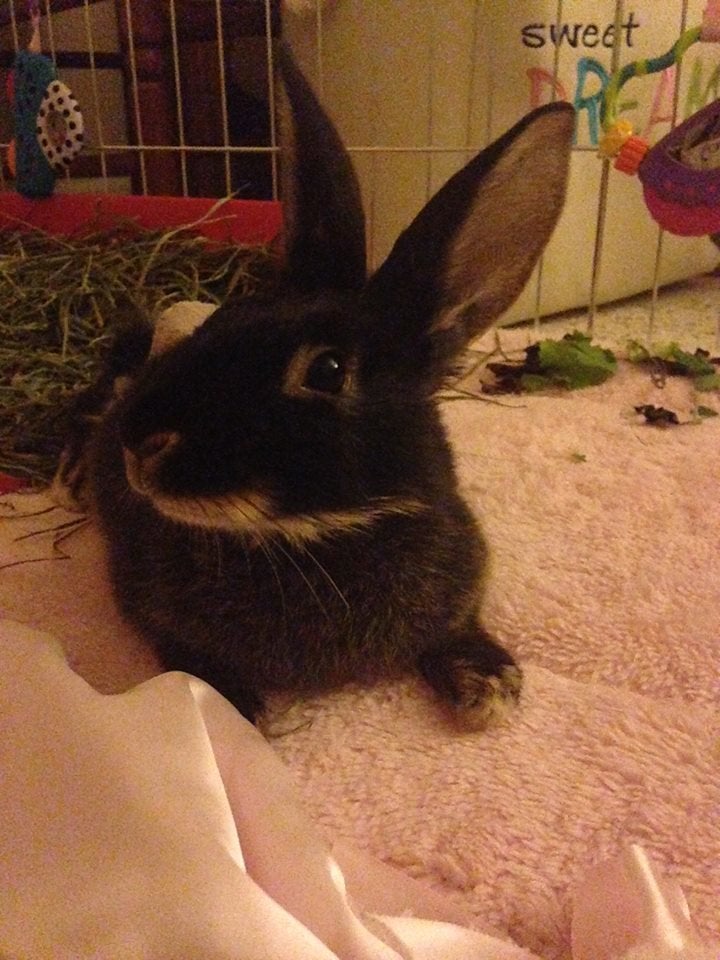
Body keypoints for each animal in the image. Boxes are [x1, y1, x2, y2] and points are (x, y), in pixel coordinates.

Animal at [57, 48, 572, 728]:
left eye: (326, 371)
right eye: (225, 318)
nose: (140, 441)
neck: (318, 534)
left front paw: (487, 685)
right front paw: (235, 707)